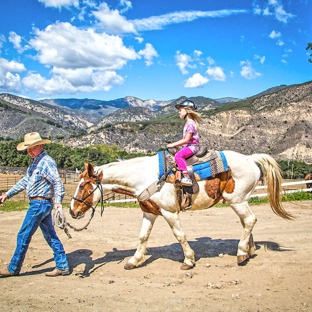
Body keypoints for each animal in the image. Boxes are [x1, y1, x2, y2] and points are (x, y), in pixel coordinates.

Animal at [69, 150, 294, 270]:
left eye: (83, 186)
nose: (72, 211)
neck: (144, 176)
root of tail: (250, 158)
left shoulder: (169, 212)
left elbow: (180, 235)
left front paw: (188, 260)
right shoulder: (149, 212)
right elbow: (143, 237)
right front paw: (133, 261)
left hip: (236, 200)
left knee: (249, 220)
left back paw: (240, 254)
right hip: (241, 201)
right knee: (247, 221)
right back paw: (249, 250)